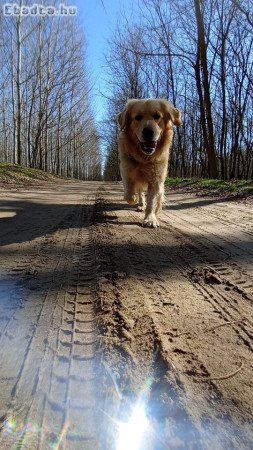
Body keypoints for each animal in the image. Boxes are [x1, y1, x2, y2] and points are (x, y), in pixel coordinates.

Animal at [117, 100, 181, 229]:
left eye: (157, 116)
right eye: (137, 117)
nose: (148, 132)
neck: (144, 159)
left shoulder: (156, 179)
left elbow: (152, 200)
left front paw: (150, 219)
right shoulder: (126, 171)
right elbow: (129, 194)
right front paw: (134, 199)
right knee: (140, 193)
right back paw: (141, 204)